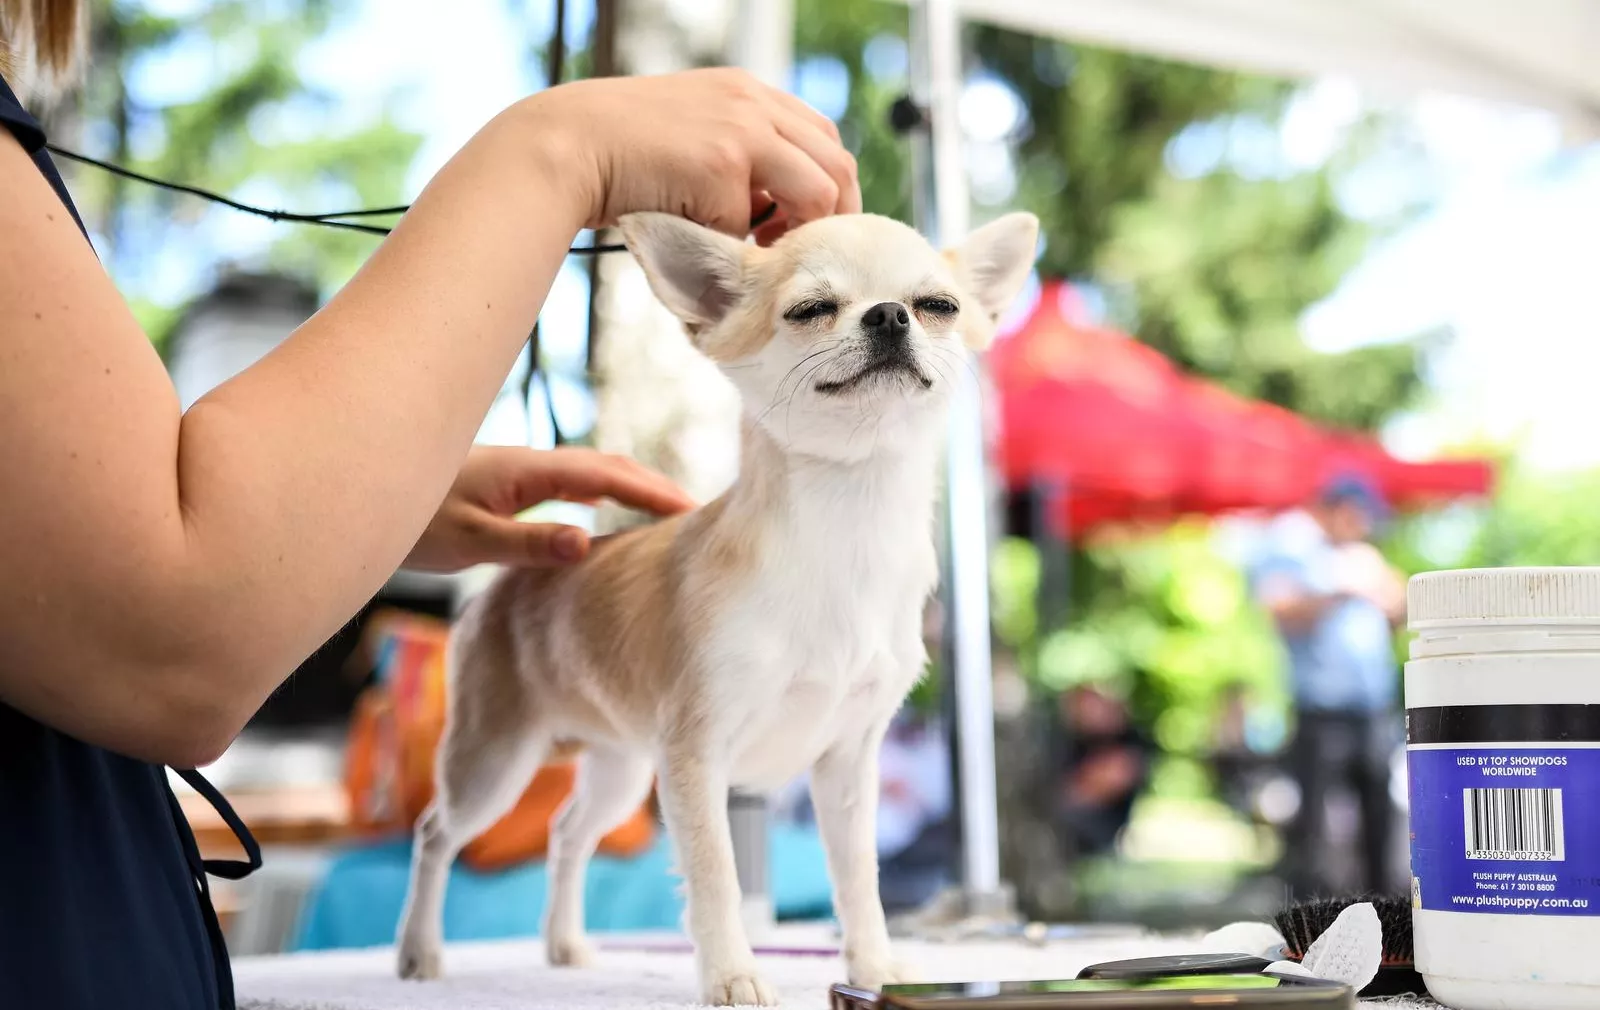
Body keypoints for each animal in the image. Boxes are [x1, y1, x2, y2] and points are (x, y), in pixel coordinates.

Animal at [390, 208, 1036, 1005]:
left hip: (619, 768)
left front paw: (874, 967)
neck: (849, 526)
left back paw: (565, 944)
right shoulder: (695, 757)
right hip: (496, 761)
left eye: (937, 305)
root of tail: (511, 578)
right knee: (435, 835)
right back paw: (418, 952)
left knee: (568, 833)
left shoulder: (846, 765)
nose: (889, 314)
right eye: (810, 309)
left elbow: (859, 879)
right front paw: (732, 975)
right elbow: (715, 876)